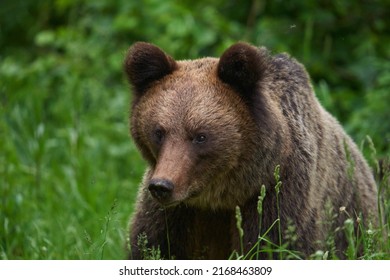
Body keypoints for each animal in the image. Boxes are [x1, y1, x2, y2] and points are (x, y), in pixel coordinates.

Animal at [122, 40, 378, 260]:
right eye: (159, 132)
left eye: (200, 136)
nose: (162, 186)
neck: (220, 198)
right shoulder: (175, 215)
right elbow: (151, 246)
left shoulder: (277, 195)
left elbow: (275, 246)